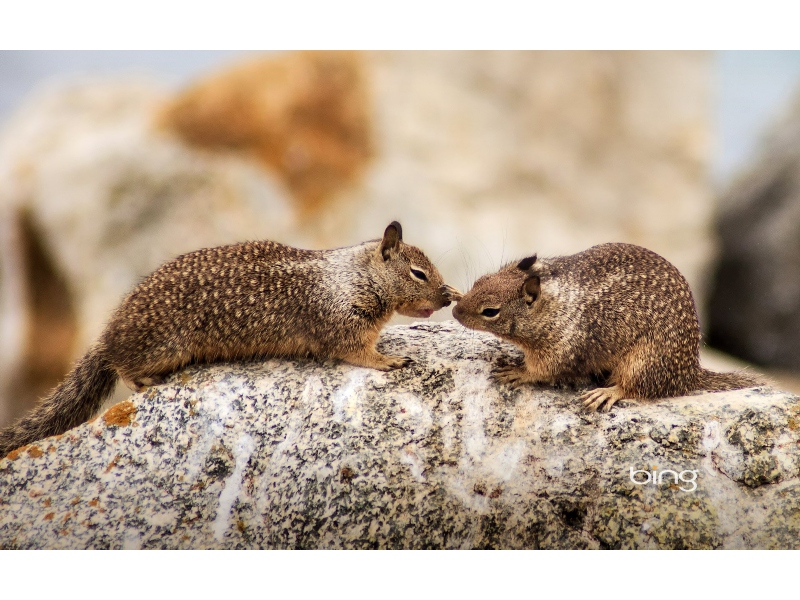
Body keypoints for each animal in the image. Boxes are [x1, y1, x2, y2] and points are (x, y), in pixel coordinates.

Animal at [0, 221, 460, 454]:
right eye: (418, 273)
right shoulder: (342, 324)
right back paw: (145, 380)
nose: (445, 295)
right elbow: (359, 353)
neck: (354, 275)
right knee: (123, 366)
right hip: (164, 347)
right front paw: (390, 360)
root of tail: (109, 331)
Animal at [450, 241, 764, 410]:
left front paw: (517, 372)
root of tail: (689, 374)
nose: (454, 312)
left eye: (490, 311)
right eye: (479, 281)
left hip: (644, 362)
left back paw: (607, 393)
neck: (554, 307)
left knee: (637, 389)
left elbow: (542, 371)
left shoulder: (561, 349)